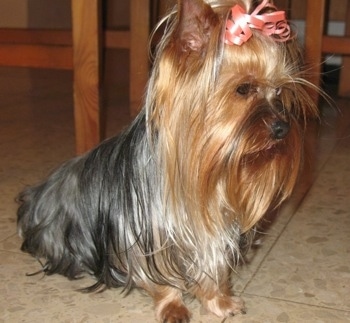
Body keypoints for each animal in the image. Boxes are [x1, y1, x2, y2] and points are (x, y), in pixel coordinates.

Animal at [17, 0, 318, 322]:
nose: (282, 128)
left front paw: (219, 302)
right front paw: (173, 306)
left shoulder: (211, 225)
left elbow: (211, 266)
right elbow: (160, 277)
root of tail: (38, 193)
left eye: (279, 91)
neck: (201, 168)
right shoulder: (147, 233)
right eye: (243, 89)